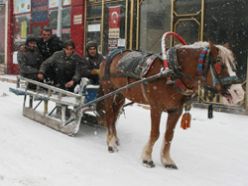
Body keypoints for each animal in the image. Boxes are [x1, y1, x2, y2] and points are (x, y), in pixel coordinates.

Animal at [97, 40, 244, 169]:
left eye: (234, 63)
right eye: (220, 64)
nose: (239, 93)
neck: (171, 72)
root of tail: (110, 54)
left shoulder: (176, 110)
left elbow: (169, 135)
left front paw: (167, 160)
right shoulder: (156, 108)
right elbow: (155, 133)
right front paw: (147, 158)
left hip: (120, 95)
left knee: (114, 116)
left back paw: (114, 139)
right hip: (108, 92)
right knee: (109, 116)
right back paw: (111, 143)